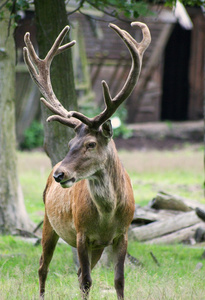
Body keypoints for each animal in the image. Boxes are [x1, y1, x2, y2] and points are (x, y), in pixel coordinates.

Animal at [23, 21, 151, 300]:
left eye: (90, 144)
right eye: (70, 144)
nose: (59, 173)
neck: (107, 216)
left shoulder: (122, 234)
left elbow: (118, 279)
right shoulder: (82, 234)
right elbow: (86, 282)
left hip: (97, 247)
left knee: (77, 271)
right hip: (49, 222)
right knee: (43, 266)